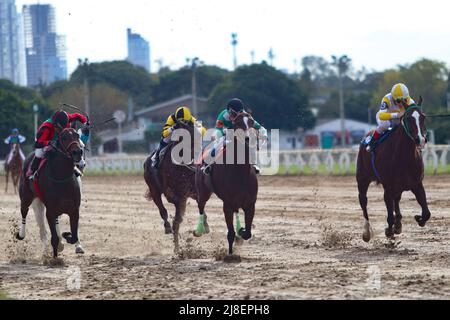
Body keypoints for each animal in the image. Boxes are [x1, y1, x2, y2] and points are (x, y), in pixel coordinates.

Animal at [17, 127, 85, 258]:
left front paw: (67, 236)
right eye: (64, 137)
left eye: (77, 135)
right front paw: (54, 258)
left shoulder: (74, 210)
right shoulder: (51, 211)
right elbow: (54, 238)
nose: (77, 152)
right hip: (26, 197)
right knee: (24, 212)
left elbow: (74, 236)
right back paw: (21, 234)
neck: (61, 178)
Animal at [143, 120, 208, 252]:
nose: (199, 159)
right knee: (162, 210)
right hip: (154, 189)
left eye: (199, 138)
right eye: (187, 139)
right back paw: (168, 228)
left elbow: (200, 205)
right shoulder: (174, 191)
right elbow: (176, 213)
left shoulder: (192, 189)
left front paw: (203, 227)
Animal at [195, 112, 258, 255]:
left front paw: (241, 231)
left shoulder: (250, 204)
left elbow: (247, 233)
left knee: (237, 212)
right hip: (203, 191)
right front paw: (230, 254)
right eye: (238, 123)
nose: (248, 138)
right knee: (201, 206)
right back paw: (200, 229)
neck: (240, 173)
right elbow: (230, 233)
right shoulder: (227, 204)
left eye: (251, 122)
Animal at [356, 100, 430, 242]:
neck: (404, 157)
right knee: (363, 200)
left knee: (397, 199)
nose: (421, 140)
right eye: (408, 118)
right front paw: (389, 231)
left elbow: (426, 213)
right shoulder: (388, 187)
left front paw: (418, 218)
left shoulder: (417, 184)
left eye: (423, 117)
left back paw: (398, 223)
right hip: (362, 178)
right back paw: (367, 231)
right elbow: (389, 214)